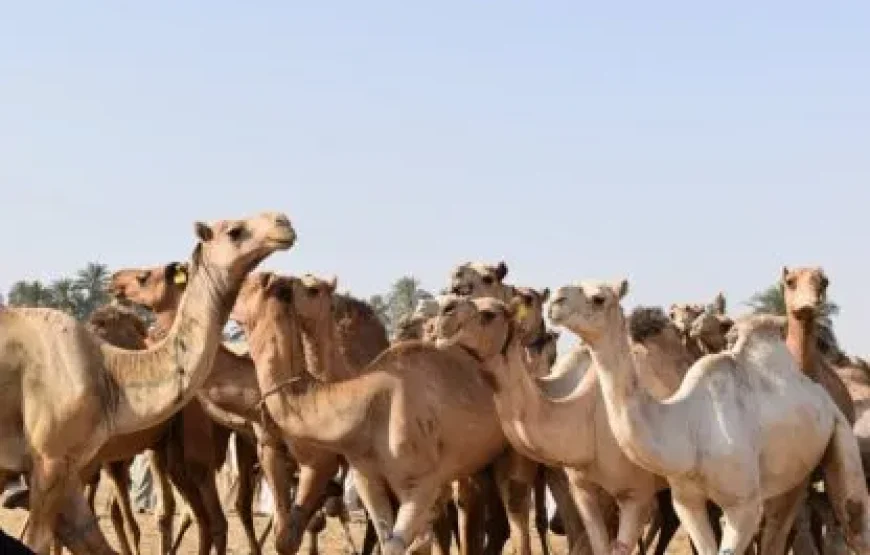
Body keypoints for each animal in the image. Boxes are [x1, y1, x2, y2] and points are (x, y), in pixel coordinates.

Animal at [0, 211, 295, 555]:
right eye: (235, 231)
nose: (284, 223)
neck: (111, 372)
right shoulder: (53, 459)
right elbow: (50, 538)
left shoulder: (64, 465)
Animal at [231, 270, 536, 555]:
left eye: (250, 284)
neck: (366, 406)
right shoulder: (367, 478)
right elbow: (385, 536)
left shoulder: (422, 484)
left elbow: (409, 544)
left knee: (513, 512)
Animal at [548, 278, 870, 555]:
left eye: (598, 298)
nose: (554, 301)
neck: (688, 429)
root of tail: (822, 397)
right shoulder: (686, 501)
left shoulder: (743, 505)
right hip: (796, 475)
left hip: (840, 435)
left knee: (851, 519)